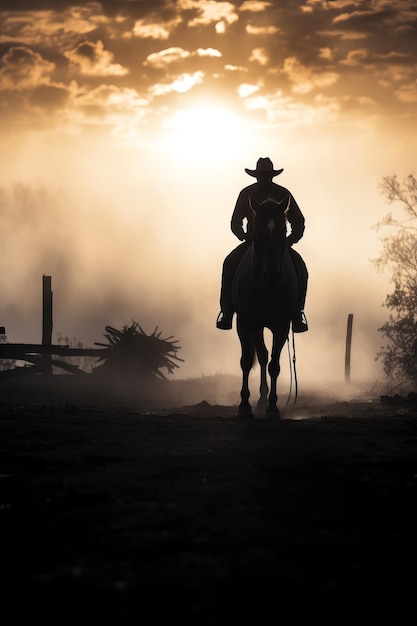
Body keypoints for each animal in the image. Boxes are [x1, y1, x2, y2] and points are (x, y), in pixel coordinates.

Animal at [231, 194, 296, 420]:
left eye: (283, 231)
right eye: (257, 231)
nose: (272, 276)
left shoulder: (281, 326)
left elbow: (274, 366)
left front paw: (273, 408)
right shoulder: (245, 323)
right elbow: (246, 361)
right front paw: (244, 406)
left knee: (266, 357)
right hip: (256, 327)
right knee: (261, 355)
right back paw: (259, 399)